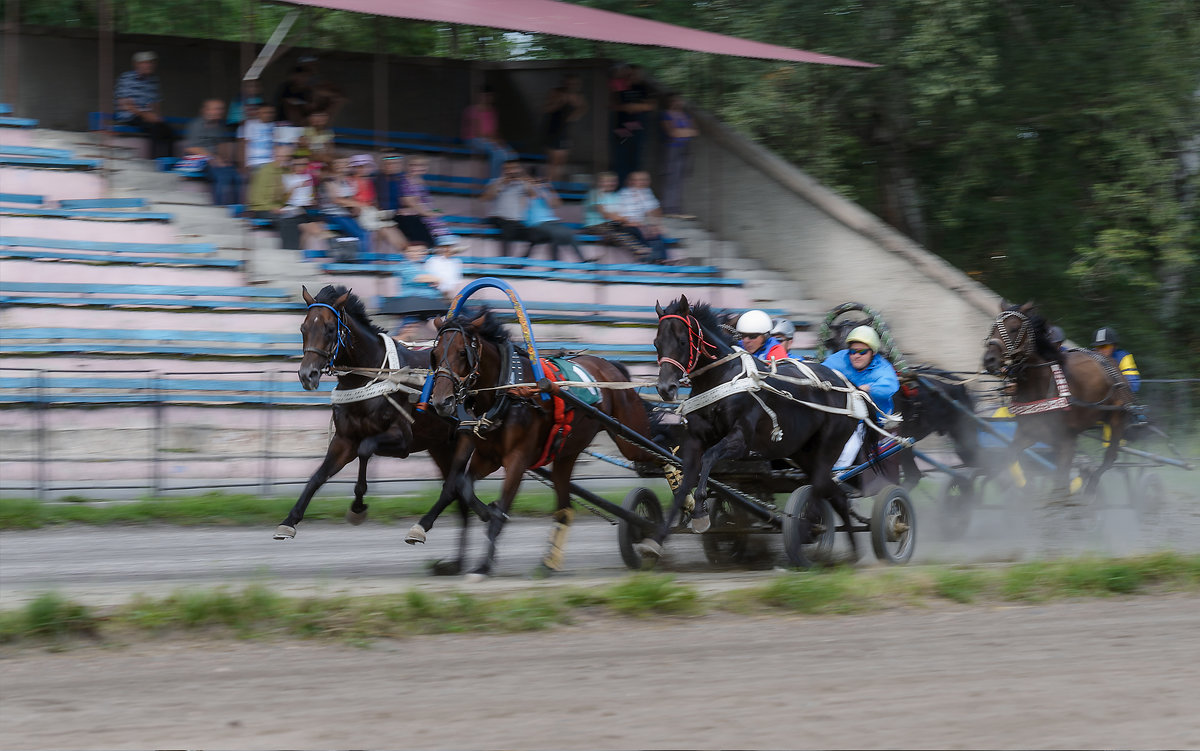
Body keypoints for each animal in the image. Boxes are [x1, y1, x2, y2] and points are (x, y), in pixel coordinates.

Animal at [420, 307, 662, 575]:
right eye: (434, 354)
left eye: (462, 352)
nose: (441, 401)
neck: (509, 391)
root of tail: (611, 365)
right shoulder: (487, 455)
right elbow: (462, 484)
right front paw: (487, 512)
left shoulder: (517, 458)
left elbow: (499, 504)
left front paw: (483, 564)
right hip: (567, 453)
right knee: (565, 506)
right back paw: (551, 559)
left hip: (630, 439)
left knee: (661, 458)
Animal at [652, 295, 878, 559]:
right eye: (657, 343)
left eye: (681, 340)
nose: (665, 388)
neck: (722, 379)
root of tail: (849, 385)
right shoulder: (696, 441)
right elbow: (685, 483)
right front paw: (655, 540)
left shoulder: (740, 441)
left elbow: (708, 459)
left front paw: (699, 512)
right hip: (803, 452)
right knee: (836, 494)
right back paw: (853, 553)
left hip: (830, 444)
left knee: (820, 486)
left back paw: (809, 529)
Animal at [979, 298, 1128, 496]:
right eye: (994, 327)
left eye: (1014, 328)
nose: (989, 360)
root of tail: (1107, 360)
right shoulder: (1028, 433)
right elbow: (1010, 456)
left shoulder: (1066, 440)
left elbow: (1061, 480)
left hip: (1116, 418)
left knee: (1109, 457)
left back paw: (1090, 487)